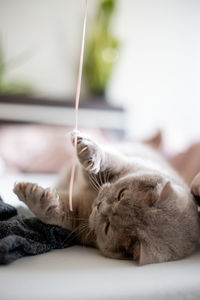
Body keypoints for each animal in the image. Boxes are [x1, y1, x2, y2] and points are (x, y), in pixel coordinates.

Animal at [13, 131, 199, 264]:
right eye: (122, 193)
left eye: (108, 227)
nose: (99, 205)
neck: (92, 198)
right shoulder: (126, 164)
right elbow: (108, 162)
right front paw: (86, 149)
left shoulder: (80, 220)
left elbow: (58, 214)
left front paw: (32, 196)